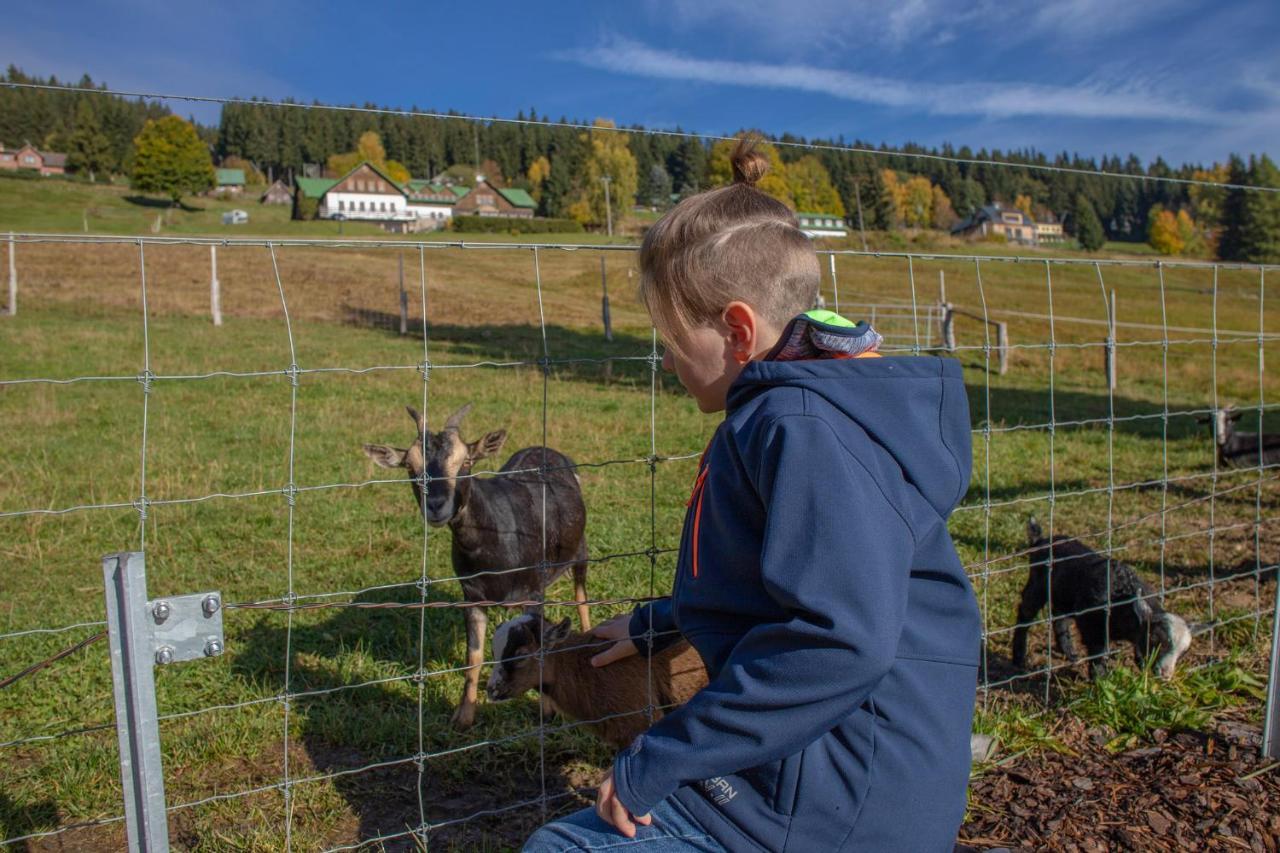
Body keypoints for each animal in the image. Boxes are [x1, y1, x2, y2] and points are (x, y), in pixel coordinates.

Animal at [1013, 517, 1192, 676]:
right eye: (1154, 639)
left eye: (1184, 652)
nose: (1165, 674)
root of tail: (1040, 541)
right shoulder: (1091, 621)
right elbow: (1098, 651)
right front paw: (1101, 678)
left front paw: (1141, 665)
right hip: (1037, 585)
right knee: (1025, 613)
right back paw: (1019, 660)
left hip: (1064, 595)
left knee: (1058, 616)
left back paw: (1070, 653)